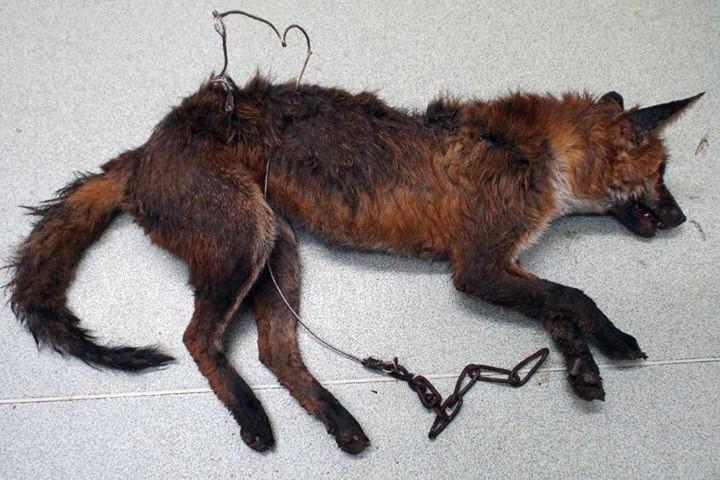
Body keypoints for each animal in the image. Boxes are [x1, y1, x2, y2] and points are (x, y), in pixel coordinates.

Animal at [6, 72, 701, 455]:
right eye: (663, 174)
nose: (680, 221)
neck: (538, 156)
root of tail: (144, 149)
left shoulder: (503, 266)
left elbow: (555, 312)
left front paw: (582, 365)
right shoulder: (478, 266)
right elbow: (575, 298)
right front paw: (613, 341)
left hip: (278, 250)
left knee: (273, 352)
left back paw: (339, 422)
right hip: (246, 241)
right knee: (200, 338)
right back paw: (253, 418)